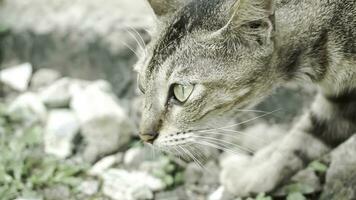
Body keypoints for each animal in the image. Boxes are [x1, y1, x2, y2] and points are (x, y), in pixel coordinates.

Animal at [134, 0, 356, 197]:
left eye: (181, 91)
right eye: (142, 85)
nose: (144, 136)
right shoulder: (342, 99)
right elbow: (302, 140)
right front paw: (253, 176)